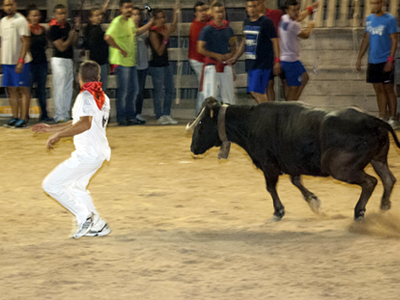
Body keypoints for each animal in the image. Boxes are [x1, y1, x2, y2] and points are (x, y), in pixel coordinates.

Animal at [189, 98, 400, 220]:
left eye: (199, 123)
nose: (192, 148)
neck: (251, 122)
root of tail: (370, 119)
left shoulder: (268, 164)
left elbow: (271, 187)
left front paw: (278, 211)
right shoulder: (292, 163)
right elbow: (296, 181)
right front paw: (314, 202)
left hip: (340, 168)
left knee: (370, 182)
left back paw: (359, 211)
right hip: (378, 159)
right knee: (388, 178)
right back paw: (384, 205)